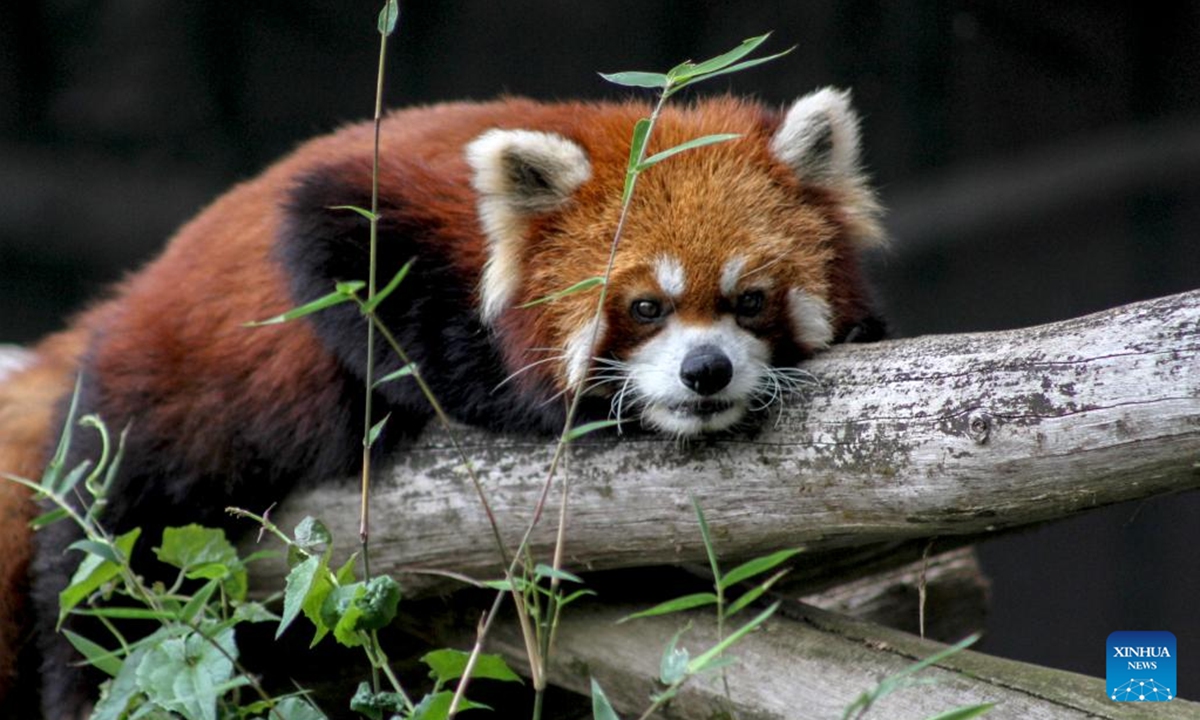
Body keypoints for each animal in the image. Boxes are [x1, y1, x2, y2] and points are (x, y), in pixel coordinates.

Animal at [0, 90, 883, 715]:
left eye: (750, 301)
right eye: (645, 308)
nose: (706, 372)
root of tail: (113, 313)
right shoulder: (366, 208)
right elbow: (355, 283)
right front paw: (531, 397)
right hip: (153, 423)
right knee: (102, 583)